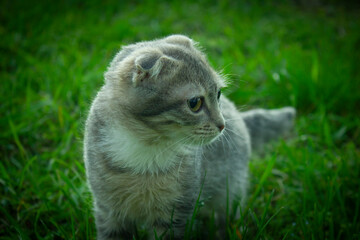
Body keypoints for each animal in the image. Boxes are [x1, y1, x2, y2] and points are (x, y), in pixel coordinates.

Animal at [84, 34, 296, 239]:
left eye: (218, 94)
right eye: (195, 103)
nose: (222, 125)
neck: (146, 147)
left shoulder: (176, 212)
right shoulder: (108, 210)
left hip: (230, 193)